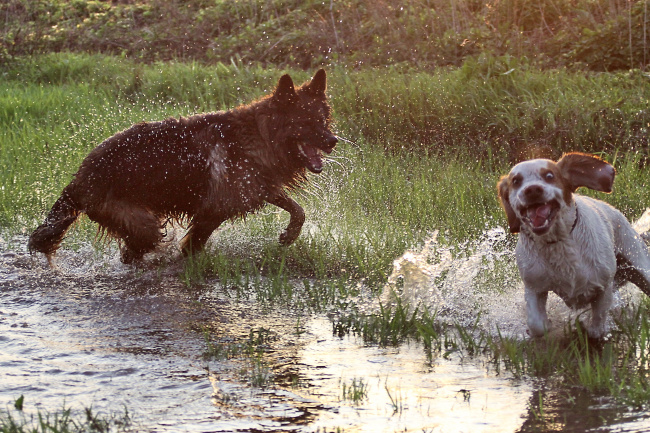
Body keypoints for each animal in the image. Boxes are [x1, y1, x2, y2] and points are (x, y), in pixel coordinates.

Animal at [28, 69, 336, 264]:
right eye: (306, 122)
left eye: (323, 120)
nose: (333, 141)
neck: (258, 136)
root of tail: (80, 177)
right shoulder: (212, 211)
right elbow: (192, 247)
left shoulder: (256, 186)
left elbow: (297, 210)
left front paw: (290, 234)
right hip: (142, 224)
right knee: (134, 252)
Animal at [496, 152, 648, 338]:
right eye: (516, 181)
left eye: (549, 176)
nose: (532, 190)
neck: (557, 241)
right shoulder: (534, 286)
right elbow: (536, 325)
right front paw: (547, 324)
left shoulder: (604, 286)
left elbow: (598, 324)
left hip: (640, 265)